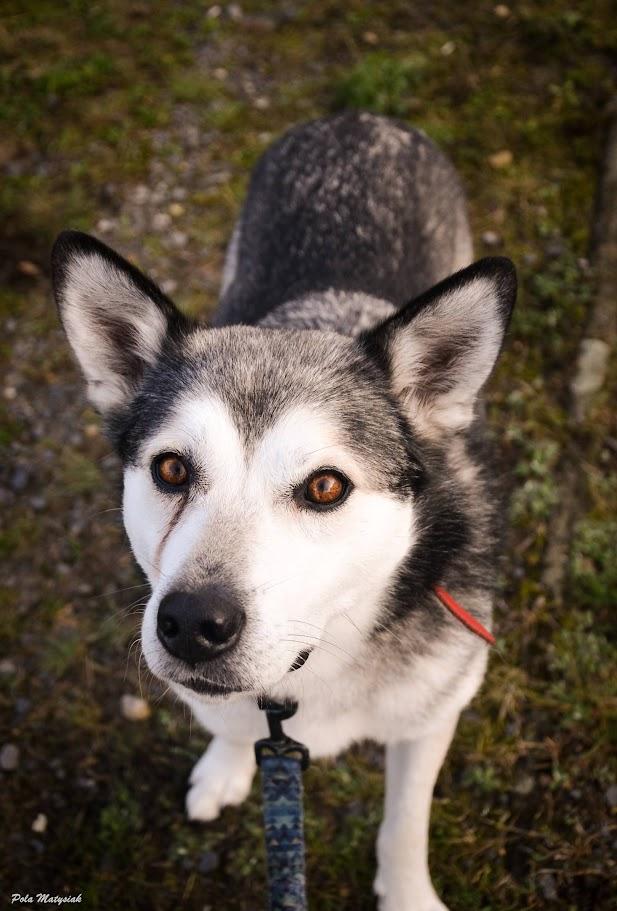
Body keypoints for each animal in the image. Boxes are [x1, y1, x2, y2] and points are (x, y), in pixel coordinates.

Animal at [51, 116, 516, 911]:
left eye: (325, 487)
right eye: (171, 470)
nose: (191, 624)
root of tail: (358, 118)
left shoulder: (431, 716)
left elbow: (404, 822)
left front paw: (406, 892)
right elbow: (233, 724)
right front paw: (225, 766)